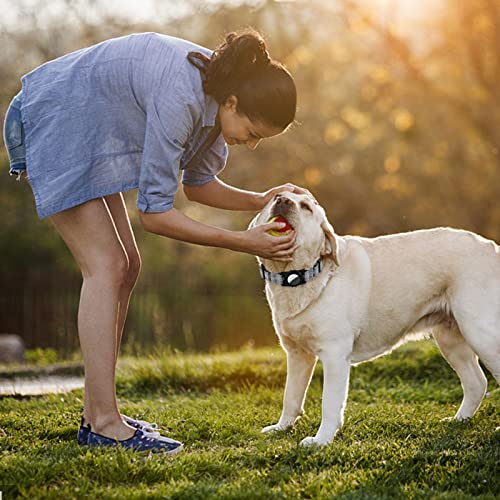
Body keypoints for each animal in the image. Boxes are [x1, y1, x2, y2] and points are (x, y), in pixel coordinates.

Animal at [252, 191, 498, 446]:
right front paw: (281, 428)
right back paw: (459, 420)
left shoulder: (334, 354)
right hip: (451, 339)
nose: (282, 201)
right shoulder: (297, 354)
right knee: (477, 383)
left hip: (481, 333)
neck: (297, 276)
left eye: (307, 208)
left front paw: (321, 440)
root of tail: (490, 246)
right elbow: (290, 397)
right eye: (275, 197)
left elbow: (329, 403)